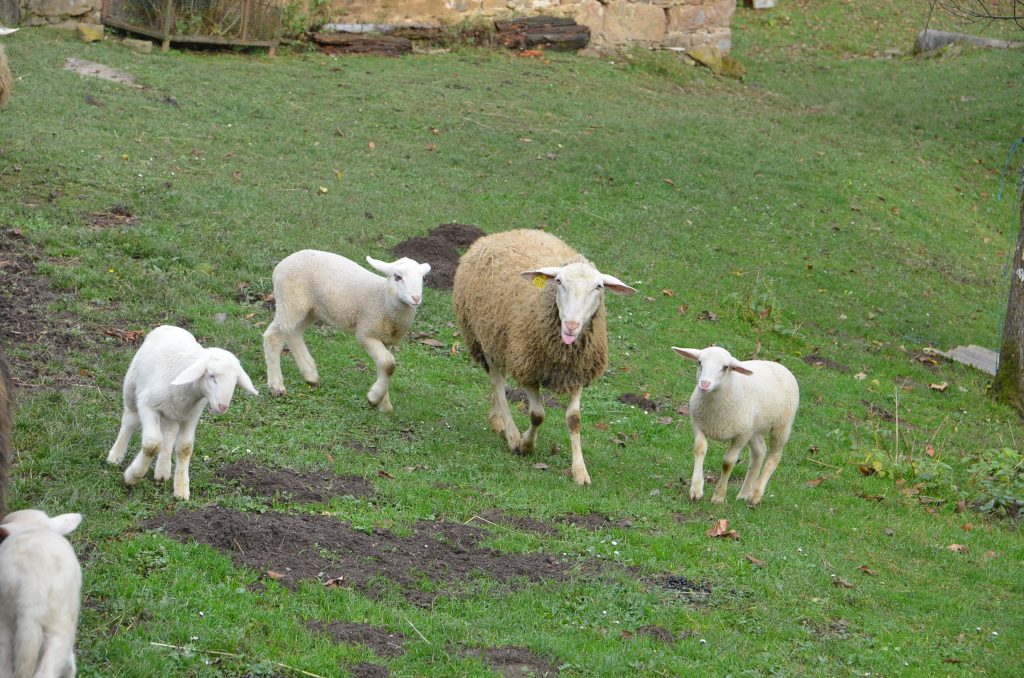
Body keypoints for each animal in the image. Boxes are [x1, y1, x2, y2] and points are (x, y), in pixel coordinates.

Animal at [107, 327, 260, 501]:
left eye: (235, 381)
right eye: (211, 375)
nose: (222, 406)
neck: (190, 391)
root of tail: (170, 326)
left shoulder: (191, 416)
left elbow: (185, 448)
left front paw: (181, 488)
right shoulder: (147, 405)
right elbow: (152, 445)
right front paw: (132, 477)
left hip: (173, 413)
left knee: (168, 433)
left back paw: (163, 470)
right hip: (132, 389)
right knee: (130, 420)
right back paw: (116, 455)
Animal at [264, 250, 432, 413]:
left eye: (422, 278)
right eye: (398, 277)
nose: (416, 298)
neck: (383, 300)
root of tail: (283, 263)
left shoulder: (386, 339)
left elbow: (383, 367)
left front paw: (384, 404)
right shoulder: (366, 333)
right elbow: (389, 364)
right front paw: (374, 398)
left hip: (310, 310)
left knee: (293, 333)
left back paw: (310, 375)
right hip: (290, 300)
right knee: (273, 336)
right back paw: (277, 387)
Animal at [454, 231, 630, 485]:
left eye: (598, 287)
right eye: (559, 282)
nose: (571, 325)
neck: (564, 352)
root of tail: (498, 235)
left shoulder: (577, 372)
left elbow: (574, 419)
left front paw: (580, 471)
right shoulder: (528, 367)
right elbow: (537, 415)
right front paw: (525, 445)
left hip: (502, 340)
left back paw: (496, 421)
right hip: (483, 336)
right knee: (498, 383)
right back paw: (511, 433)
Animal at [671, 348, 798, 507]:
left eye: (725, 367)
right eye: (700, 362)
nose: (705, 384)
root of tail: (780, 366)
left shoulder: (741, 435)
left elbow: (728, 462)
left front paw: (719, 497)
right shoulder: (698, 424)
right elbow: (699, 448)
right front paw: (696, 490)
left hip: (781, 425)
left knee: (774, 456)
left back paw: (755, 495)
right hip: (753, 427)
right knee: (759, 452)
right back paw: (743, 494)